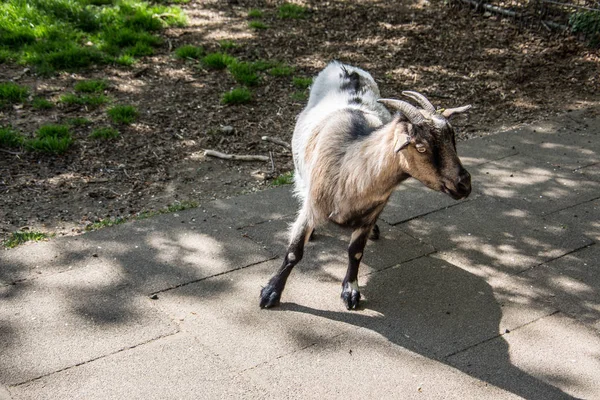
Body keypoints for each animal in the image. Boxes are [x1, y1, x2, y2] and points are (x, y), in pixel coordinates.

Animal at [260, 61, 472, 310]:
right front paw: (271, 292)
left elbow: (356, 252)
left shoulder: (371, 213)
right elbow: (294, 252)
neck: (351, 168)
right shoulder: (313, 205)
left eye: (453, 139)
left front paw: (351, 291)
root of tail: (343, 67)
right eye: (420, 147)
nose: (464, 184)